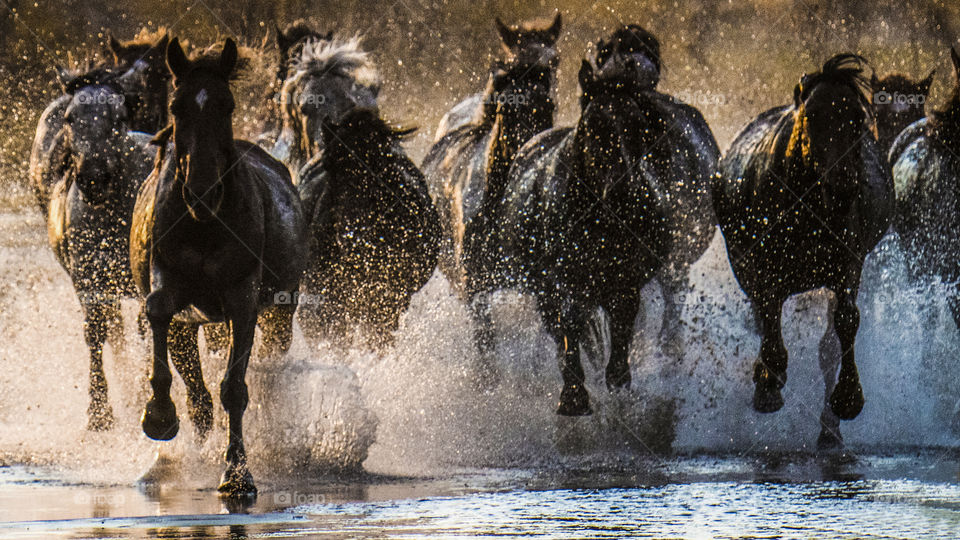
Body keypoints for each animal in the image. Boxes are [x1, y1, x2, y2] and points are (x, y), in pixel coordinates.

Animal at [129, 35, 306, 496]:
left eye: (226, 105)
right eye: (176, 107)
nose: (202, 193)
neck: (205, 225)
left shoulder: (243, 299)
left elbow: (235, 389)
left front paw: (237, 472)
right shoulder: (168, 281)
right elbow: (158, 309)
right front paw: (158, 415)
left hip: (279, 314)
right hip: (189, 327)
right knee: (197, 394)